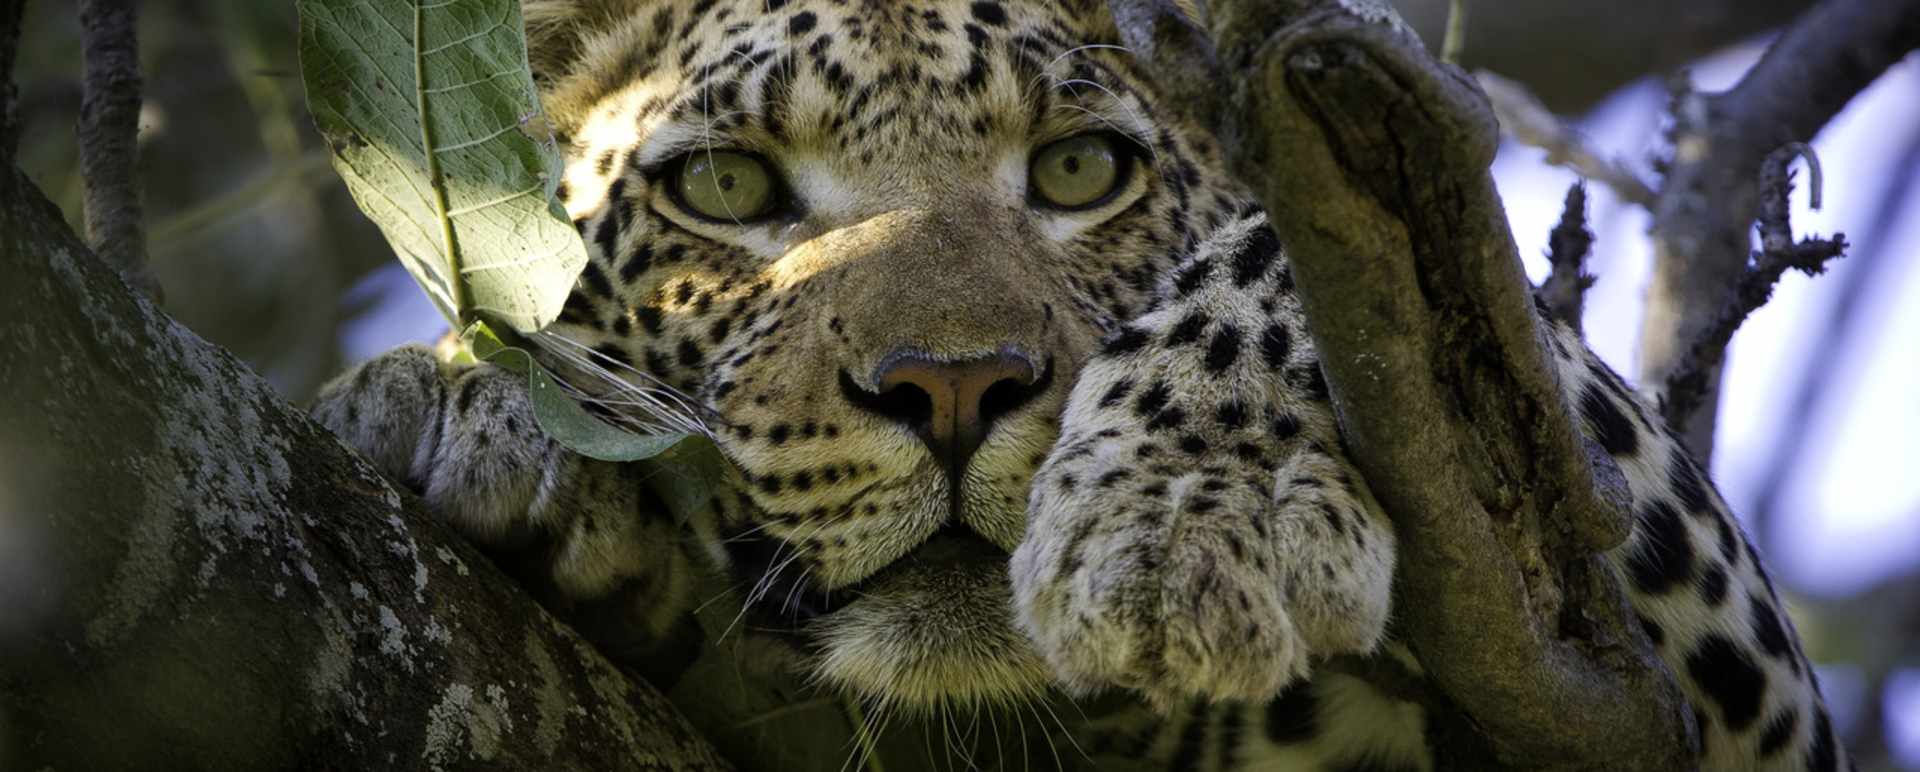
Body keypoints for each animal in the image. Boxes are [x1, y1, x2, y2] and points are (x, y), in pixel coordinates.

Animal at [310, 0, 1850, 768]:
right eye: (730, 191)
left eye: (1077, 170)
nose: (951, 390)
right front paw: (462, 402)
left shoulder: (1739, 686)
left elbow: (1273, 243)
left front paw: (1183, 521)